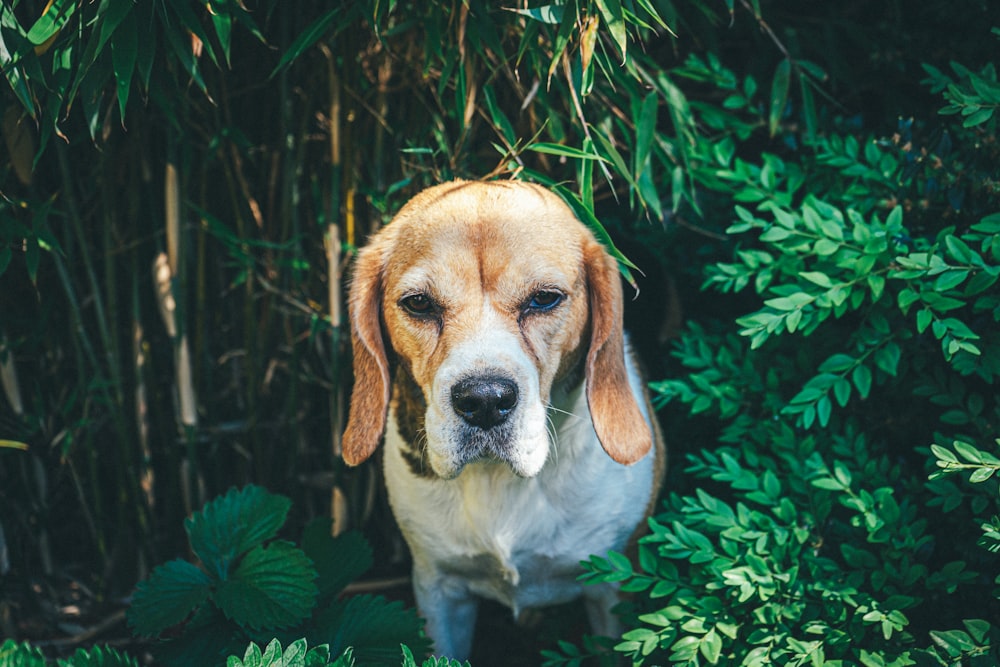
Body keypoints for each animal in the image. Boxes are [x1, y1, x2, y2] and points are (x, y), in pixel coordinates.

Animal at [342, 180, 664, 660]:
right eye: (418, 304)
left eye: (544, 298)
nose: (485, 400)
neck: (499, 481)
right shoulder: (438, 589)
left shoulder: (615, 586)